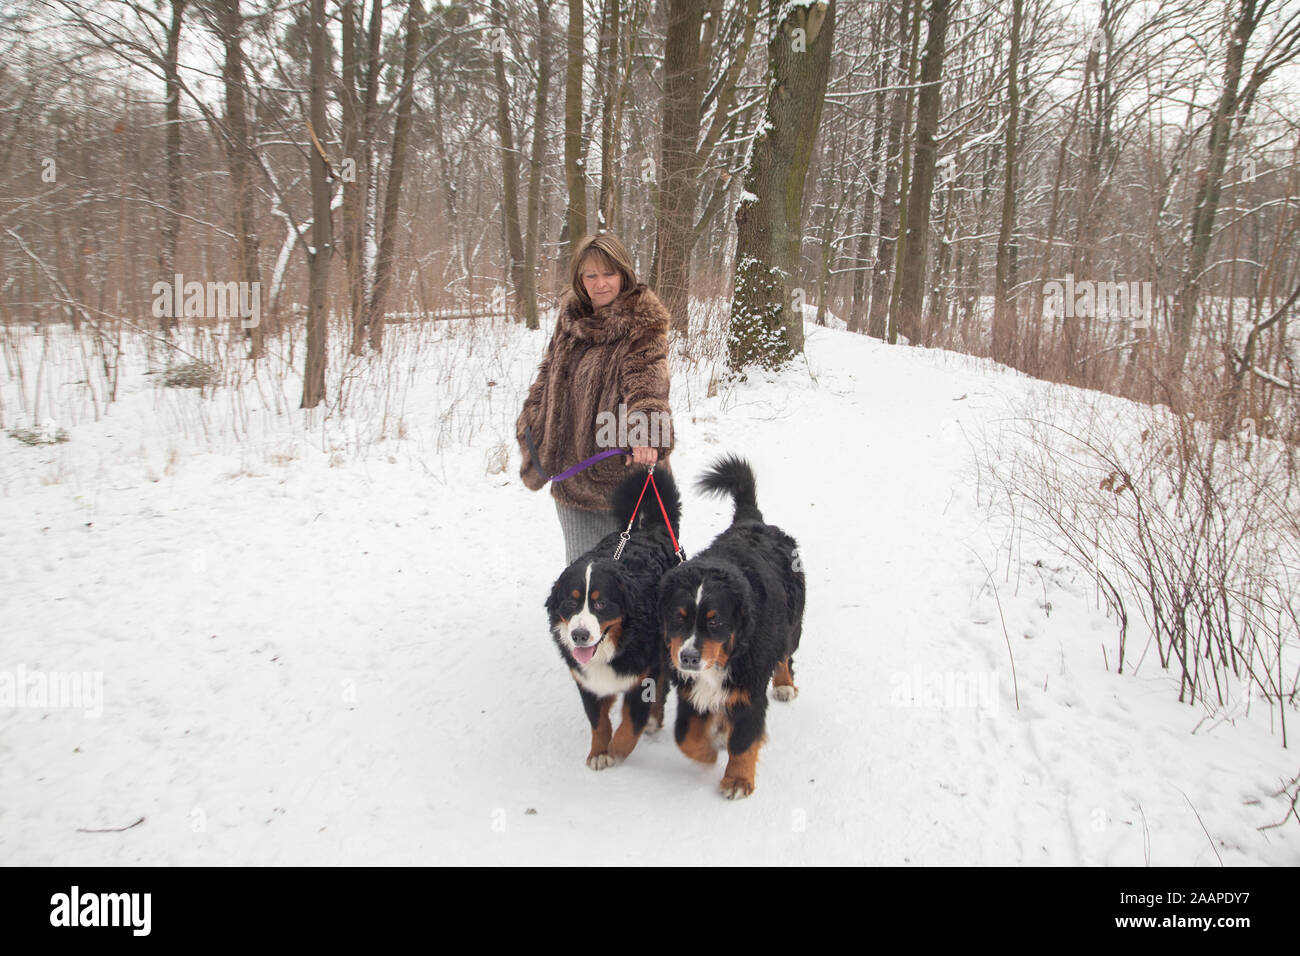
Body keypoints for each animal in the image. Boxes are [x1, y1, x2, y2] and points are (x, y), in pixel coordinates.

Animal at [540, 468, 681, 775]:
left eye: (601, 603)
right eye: (571, 603)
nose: (580, 635)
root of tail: (644, 529)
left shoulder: (643, 675)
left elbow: (631, 723)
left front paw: (617, 750)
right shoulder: (586, 680)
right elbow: (599, 722)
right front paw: (599, 752)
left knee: (662, 685)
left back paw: (655, 720)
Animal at [660, 455, 800, 801]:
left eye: (715, 621)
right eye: (678, 618)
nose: (689, 658)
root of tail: (752, 521)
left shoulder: (749, 685)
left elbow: (745, 739)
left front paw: (737, 779)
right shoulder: (689, 686)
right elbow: (685, 736)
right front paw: (707, 751)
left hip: (791, 630)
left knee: (785, 656)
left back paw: (784, 684)